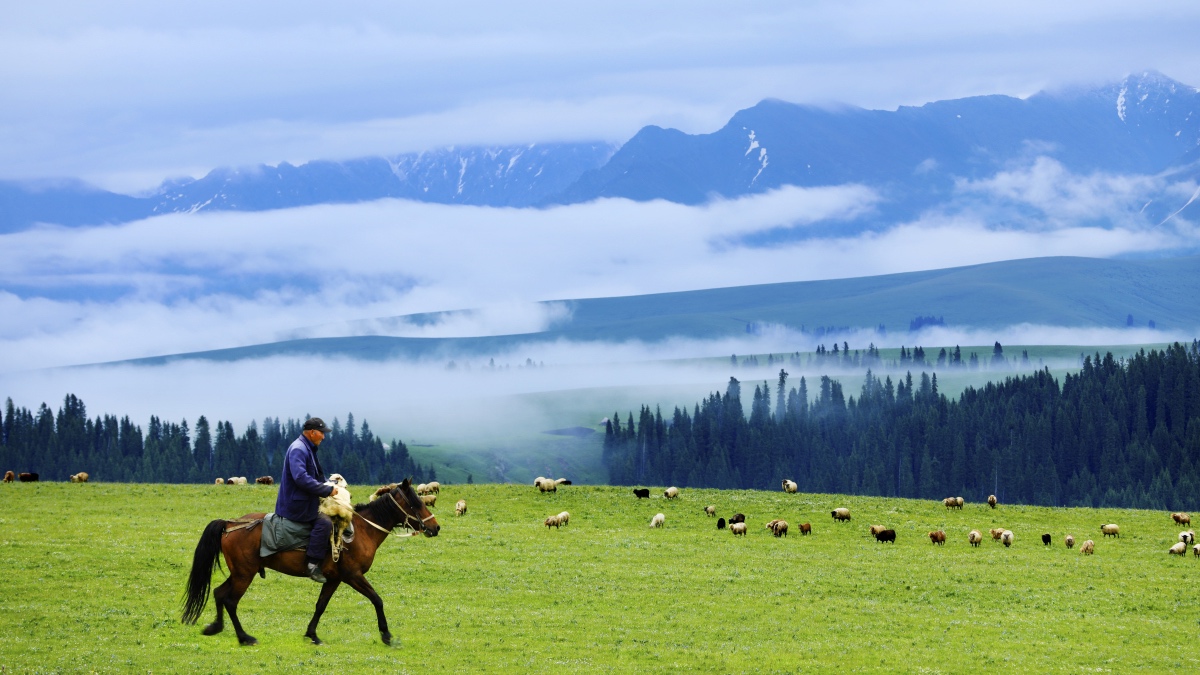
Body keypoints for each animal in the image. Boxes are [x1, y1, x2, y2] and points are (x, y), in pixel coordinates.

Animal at [180, 473, 439, 638]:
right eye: (415, 503)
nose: (435, 527)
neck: (362, 531)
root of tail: (230, 524)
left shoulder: (334, 579)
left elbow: (320, 605)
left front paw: (312, 633)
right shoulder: (353, 576)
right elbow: (377, 599)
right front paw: (385, 633)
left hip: (239, 572)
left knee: (219, 593)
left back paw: (215, 627)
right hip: (245, 574)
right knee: (231, 600)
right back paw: (244, 637)